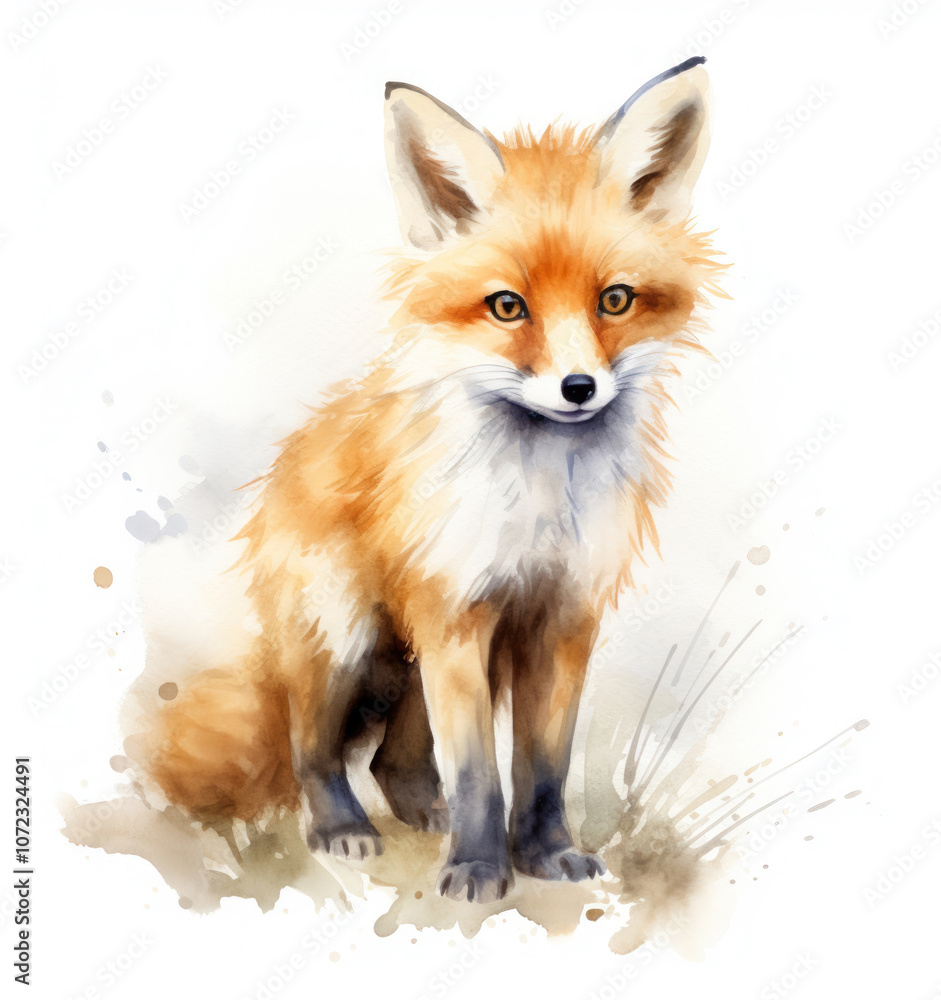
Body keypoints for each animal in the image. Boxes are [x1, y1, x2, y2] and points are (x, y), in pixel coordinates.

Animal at [141, 56, 724, 904]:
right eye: (507, 307)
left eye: (614, 299)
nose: (578, 388)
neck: (539, 503)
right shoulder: (458, 613)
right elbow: (479, 769)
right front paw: (479, 869)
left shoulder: (560, 619)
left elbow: (542, 767)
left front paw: (545, 853)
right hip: (343, 637)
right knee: (311, 747)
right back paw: (341, 826)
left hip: (416, 655)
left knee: (392, 758)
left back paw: (420, 808)